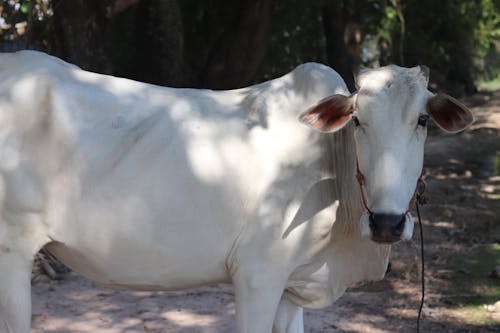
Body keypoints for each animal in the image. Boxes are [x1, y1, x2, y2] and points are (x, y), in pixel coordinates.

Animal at [0, 50, 470, 330]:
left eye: (422, 120)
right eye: (357, 120)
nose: (387, 223)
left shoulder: (292, 285)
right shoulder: (257, 275)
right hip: (12, 252)